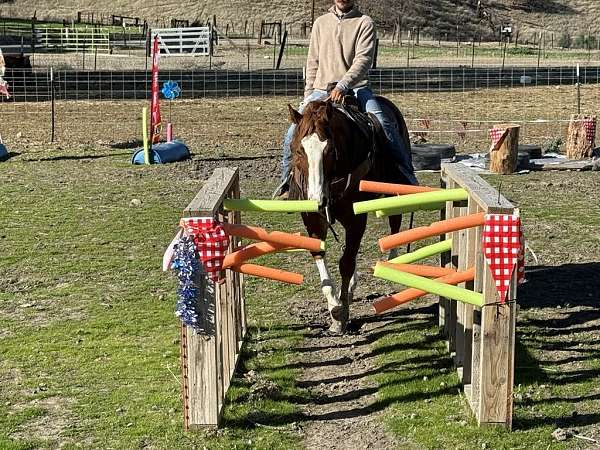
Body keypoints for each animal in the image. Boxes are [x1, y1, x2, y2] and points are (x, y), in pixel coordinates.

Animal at [288, 97, 414, 330]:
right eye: (299, 150)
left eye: (329, 151)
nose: (317, 200)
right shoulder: (313, 220)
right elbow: (322, 255)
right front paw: (334, 305)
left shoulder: (355, 219)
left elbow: (346, 263)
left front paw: (342, 314)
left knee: (395, 221)